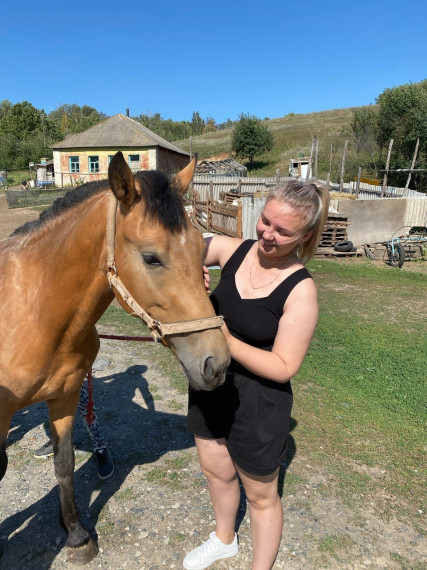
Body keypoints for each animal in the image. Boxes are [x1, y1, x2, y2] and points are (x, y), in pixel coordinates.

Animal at [0, 152, 231, 564]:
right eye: (151, 258)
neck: (31, 309)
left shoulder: (65, 395)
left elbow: (64, 463)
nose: (216, 365)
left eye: (200, 250)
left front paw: (76, 535)